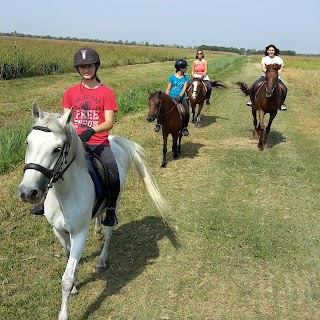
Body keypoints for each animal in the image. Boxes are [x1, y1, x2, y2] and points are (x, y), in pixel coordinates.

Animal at [17, 103, 171, 320]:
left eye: (57, 149)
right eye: (28, 142)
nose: (27, 192)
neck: (64, 194)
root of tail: (115, 141)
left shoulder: (80, 233)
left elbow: (66, 278)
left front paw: (64, 311)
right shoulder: (59, 231)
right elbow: (68, 257)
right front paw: (74, 286)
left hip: (116, 200)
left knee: (109, 228)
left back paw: (101, 259)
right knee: (99, 215)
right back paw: (97, 231)